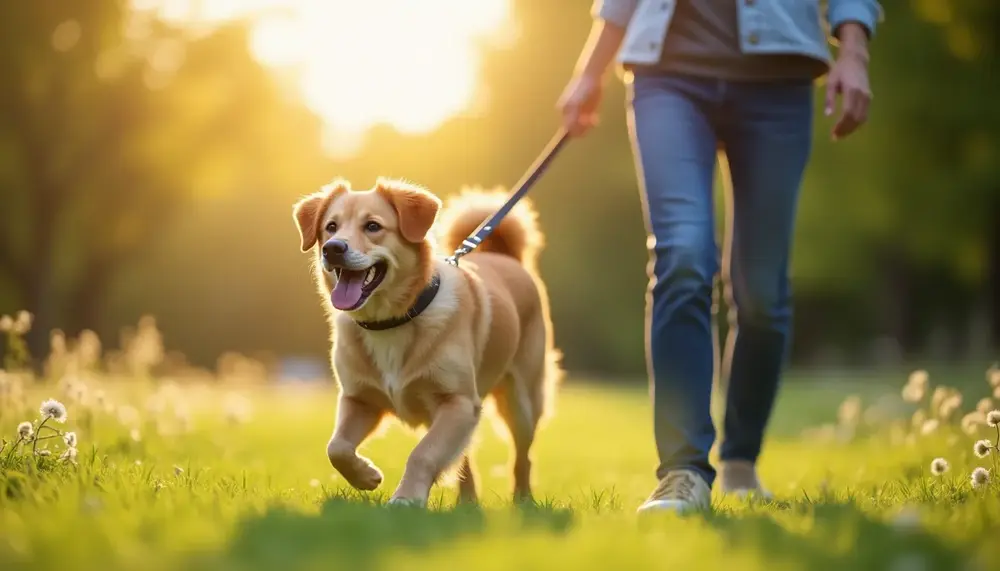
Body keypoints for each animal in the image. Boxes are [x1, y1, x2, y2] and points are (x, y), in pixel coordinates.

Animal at [292, 177, 564, 508]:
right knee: (464, 459)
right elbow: (337, 448)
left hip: (521, 401)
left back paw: (523, 500)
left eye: (373, 226)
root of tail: (503, 256)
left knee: (522, 456)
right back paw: (467, 503)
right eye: (330, 227)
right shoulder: (360, 399)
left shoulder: (458, 402)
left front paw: (406, 498)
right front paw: (366, 476)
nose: (333, 248)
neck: (391, 322)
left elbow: (423, 453)